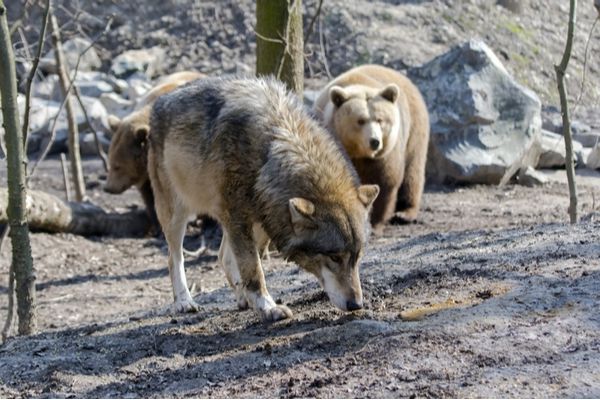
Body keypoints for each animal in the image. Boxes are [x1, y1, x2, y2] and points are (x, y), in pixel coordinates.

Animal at [104, 69, 205, 231]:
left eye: (117, 166)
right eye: (110, 163)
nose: (108, 188)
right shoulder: (149, 173)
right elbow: (152, 196)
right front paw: (157, 225)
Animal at [314, 65, 432, 234]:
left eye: (380, 120)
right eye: (360, 120)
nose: (375, 141)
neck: (358, 153)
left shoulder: (385, 155)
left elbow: (385, 182)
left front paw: (375, 223)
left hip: (414, 131)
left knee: (413, 172)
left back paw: (404, 213)